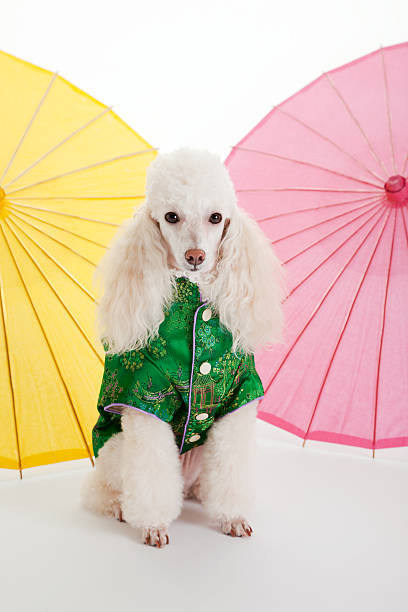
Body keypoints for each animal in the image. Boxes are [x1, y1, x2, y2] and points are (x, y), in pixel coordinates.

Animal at [79, 147, 284, 544]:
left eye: (216, 217)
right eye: (171, 217)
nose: (195, 257)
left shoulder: (238, 397)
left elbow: (232, 471)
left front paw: (233, 517)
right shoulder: (144, 404)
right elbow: (150, 477)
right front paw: (153, 526)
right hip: (116, 449)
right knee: (100, 489)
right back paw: (117, 507)